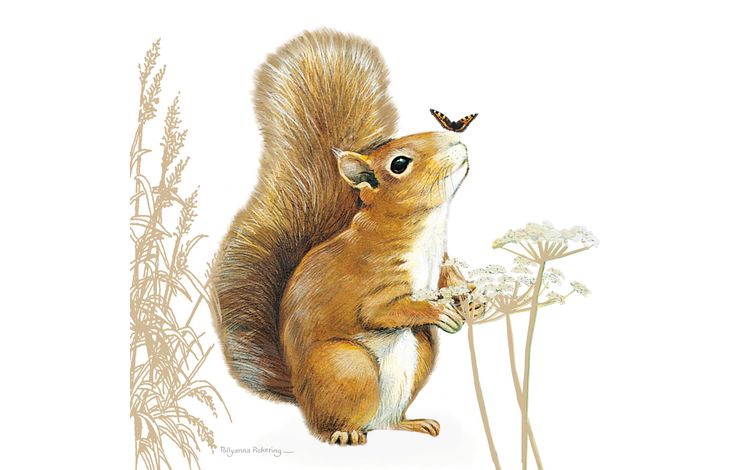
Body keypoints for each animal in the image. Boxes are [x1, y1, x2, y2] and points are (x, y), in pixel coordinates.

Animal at [212, 29, 470, 446]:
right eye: (400, 163)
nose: (458, 142)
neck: (428, 230)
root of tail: (300, 393)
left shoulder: (440, 262)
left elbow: (450, 280)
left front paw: (467, 296)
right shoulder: (373, 281)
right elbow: (380, 312)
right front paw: (434, 310)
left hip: (420, 352)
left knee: (385, 421)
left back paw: (410, 423)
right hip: (346, 365)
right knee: (329, 425)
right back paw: (344, 434)